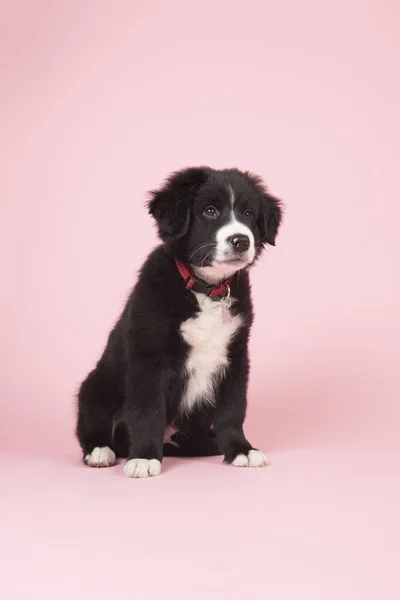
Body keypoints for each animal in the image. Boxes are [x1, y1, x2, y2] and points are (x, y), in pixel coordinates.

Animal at [75, 166, 282, 476]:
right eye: (210, 211)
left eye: (248, 213)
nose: (241, 241)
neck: (206, 289)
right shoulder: (149, 358)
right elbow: (147, 411)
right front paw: (144, 457)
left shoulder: (235, 355)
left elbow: (233, 410)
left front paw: (240, 449)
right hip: (95, 385)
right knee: (94, 425)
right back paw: (101, 451)